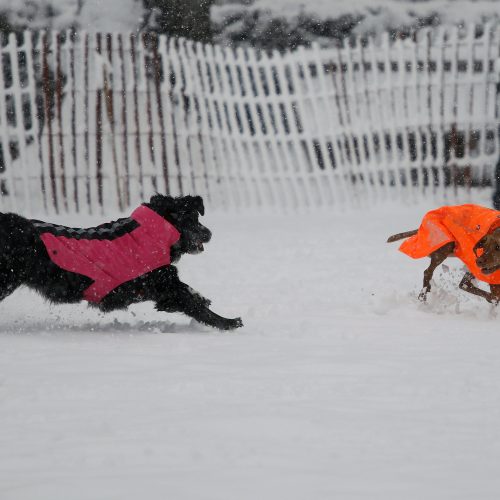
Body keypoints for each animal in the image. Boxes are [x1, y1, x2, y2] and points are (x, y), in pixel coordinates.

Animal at [0, 193, 243, 330]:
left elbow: (191, 296)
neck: (150, 234)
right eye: (189, 218)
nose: (209, 233)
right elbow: (194, 304)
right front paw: (229, 323)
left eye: (197, 217)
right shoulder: (163, 285)